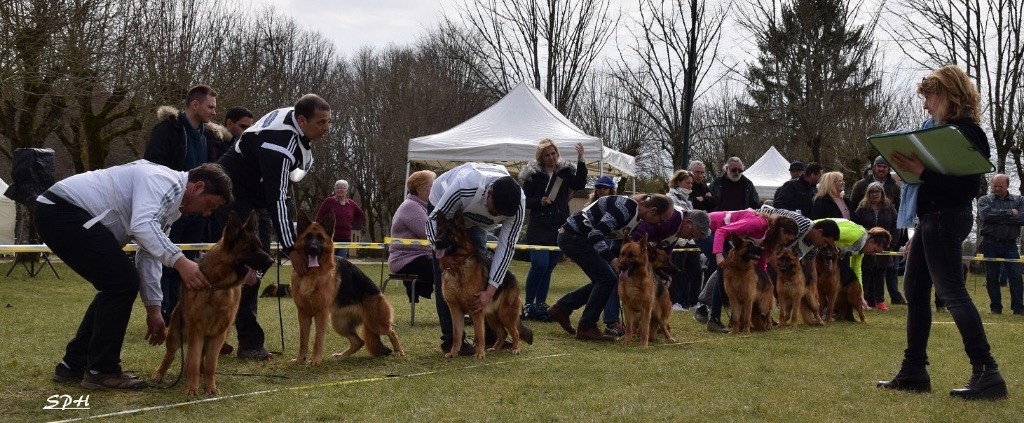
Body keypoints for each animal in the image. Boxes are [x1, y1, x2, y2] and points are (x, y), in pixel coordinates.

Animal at [150, 210, 272, 395]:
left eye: (259, 246)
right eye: (249, 248)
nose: (271, 261)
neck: (219, 285)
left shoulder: (218, 335)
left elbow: (210, 365)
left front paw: (210, 388)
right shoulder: (197, 331)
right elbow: (192, 362)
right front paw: (192, 389)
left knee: (201, 361)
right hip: (175, 336)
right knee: (170, 356)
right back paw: (159, 374)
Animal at [290, 208, 401, 360]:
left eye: (320, 238)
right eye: (308, 237)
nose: (313, 249)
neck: (311, 274)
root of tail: (378, 292)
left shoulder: (321, 314)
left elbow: (318, 340)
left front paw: (315, 360)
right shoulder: (303, 314)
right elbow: (303, 340)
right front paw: (300, 359)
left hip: (376, 323)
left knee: (392, 332)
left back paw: (399, 351)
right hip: (340, 323)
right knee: (359, 341)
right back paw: (342, 355)